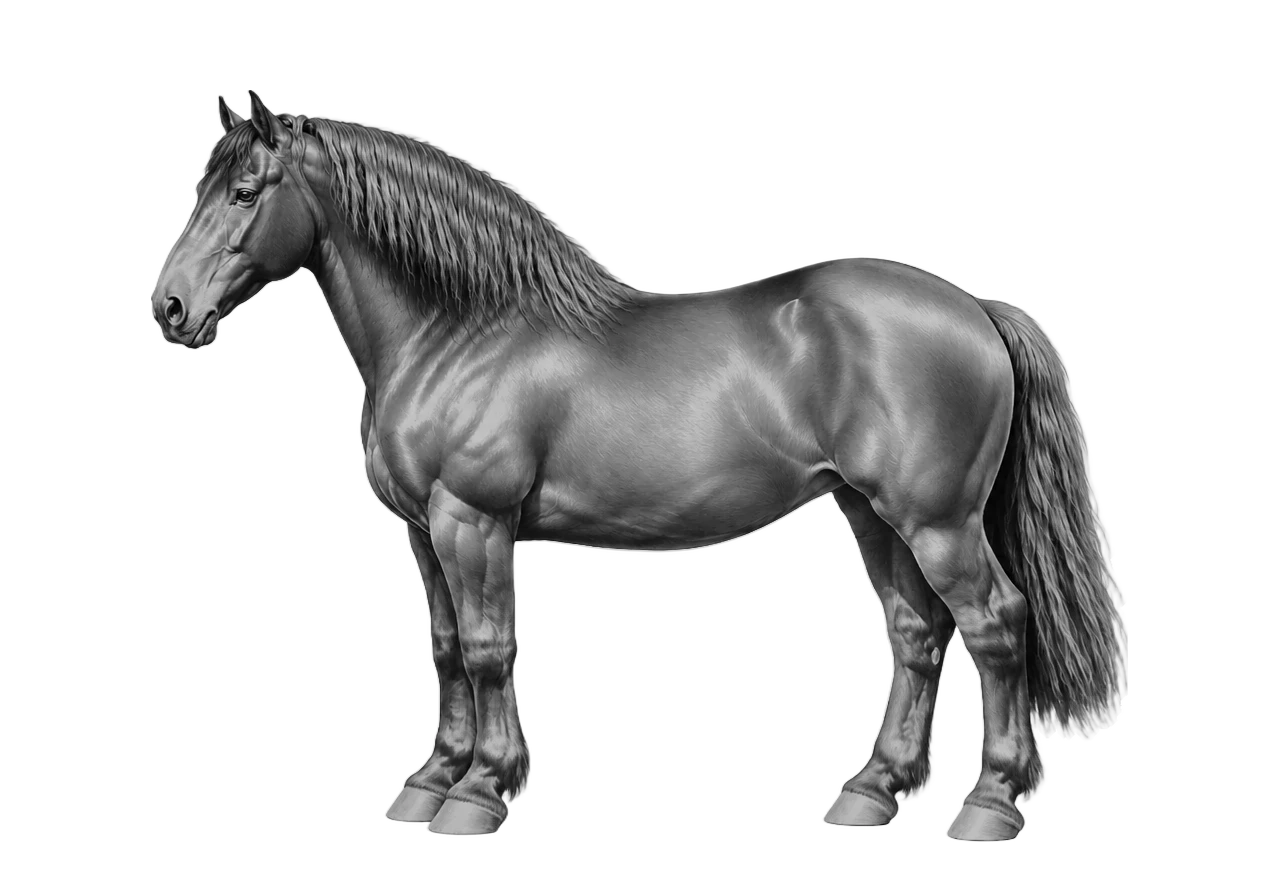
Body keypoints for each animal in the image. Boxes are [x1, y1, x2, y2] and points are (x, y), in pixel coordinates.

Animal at [149, 90, 1122, 840]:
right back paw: (871, 791)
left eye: (245, 191)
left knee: (997, 625)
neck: (461, 331)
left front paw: (480, 792)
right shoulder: (426, 533)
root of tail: (975, 309)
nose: (170, 307)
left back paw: (989, 805)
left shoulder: (474, 520)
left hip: (938, 522)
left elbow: (490, 648)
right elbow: (445, 649)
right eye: (204, 187)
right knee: (917, 634)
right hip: (870, 513)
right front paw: (429, 781)